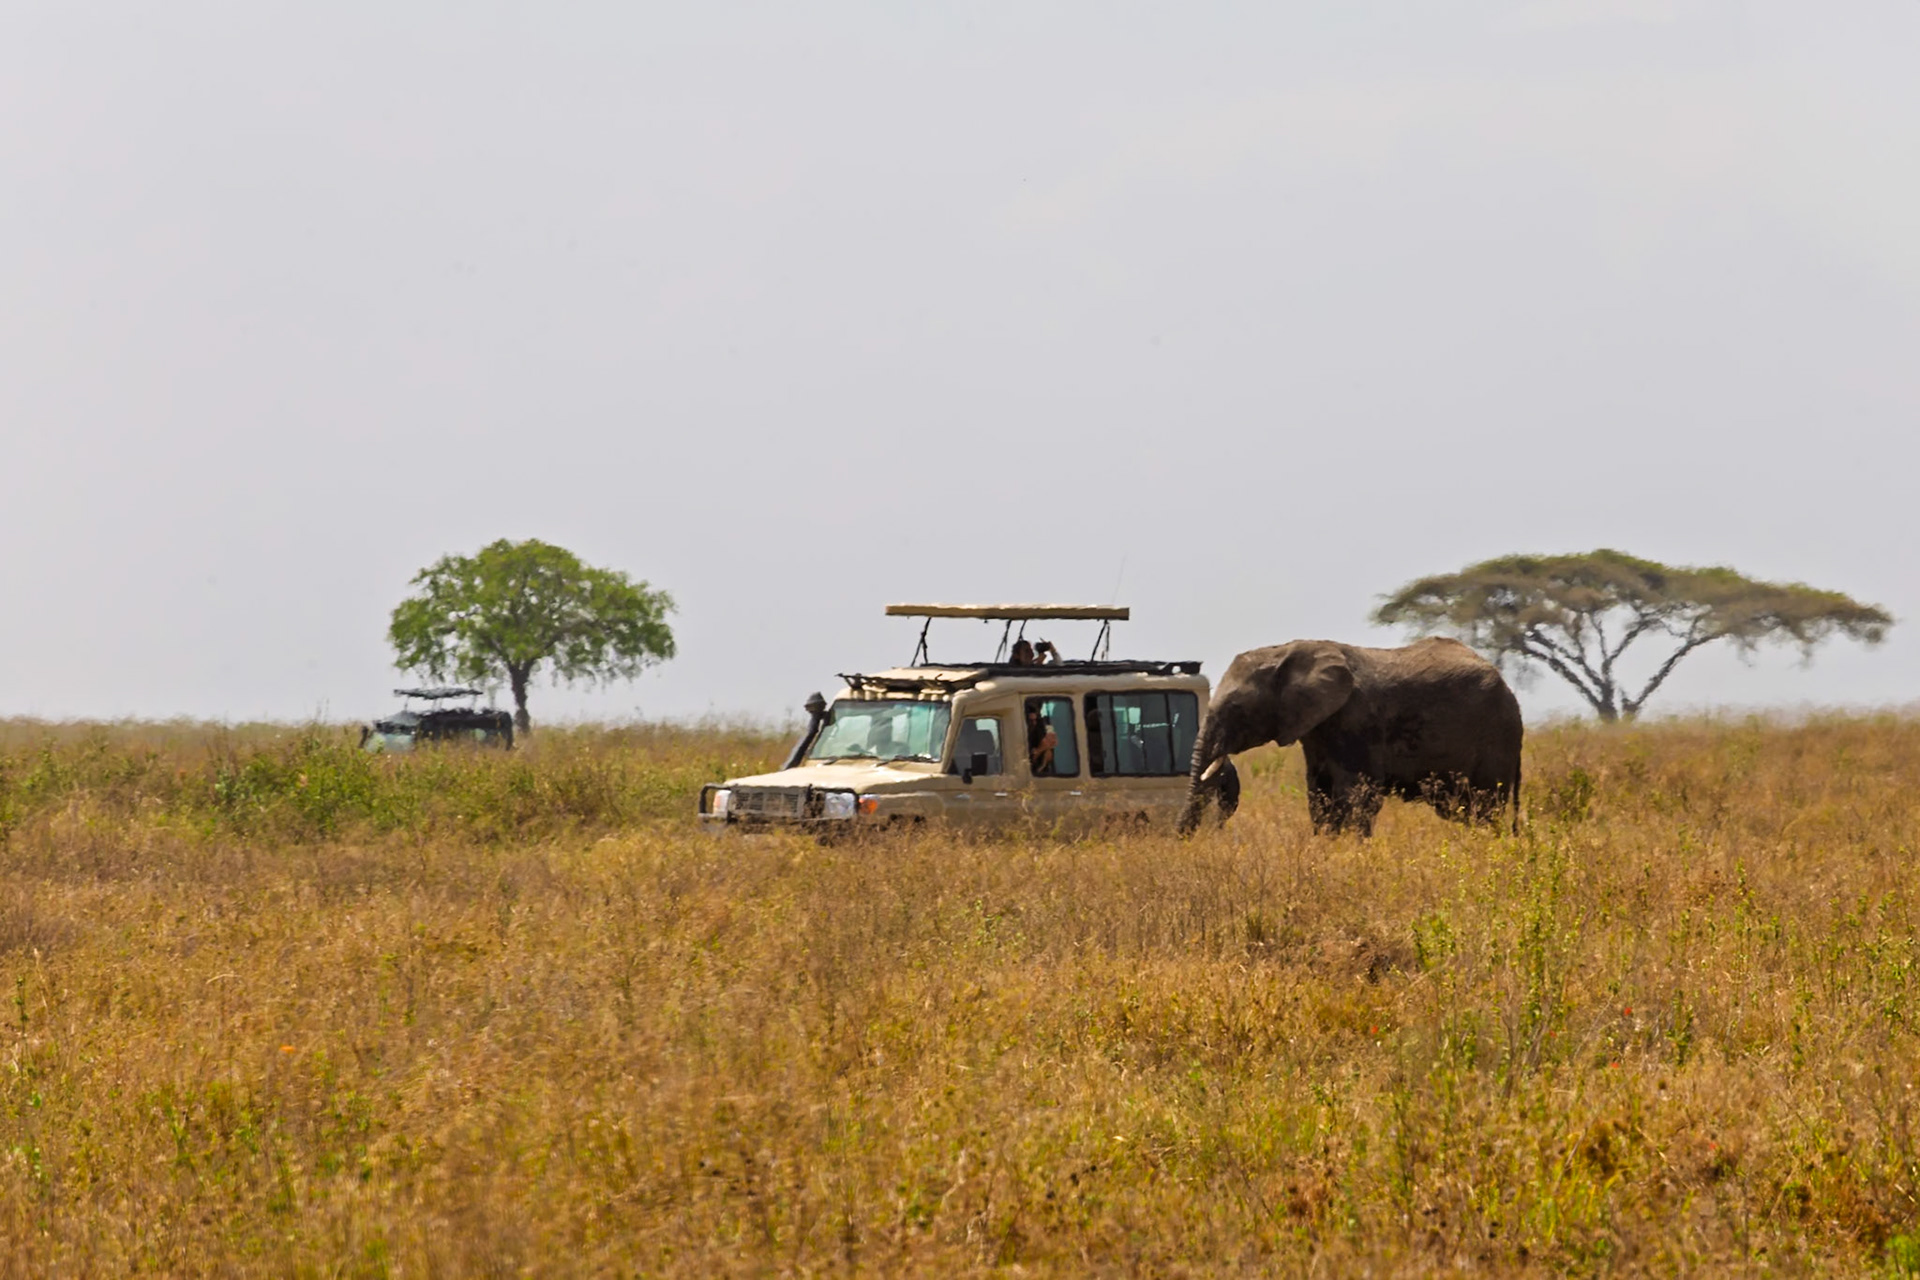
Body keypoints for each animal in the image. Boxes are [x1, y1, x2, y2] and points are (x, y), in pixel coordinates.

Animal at [1179, 637, 1523, 836]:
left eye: (1237, 708)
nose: (1184, 836)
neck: (1286, 651)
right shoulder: (1315, 727)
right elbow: (1319, 792)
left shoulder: (1357, 720)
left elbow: (1357, 795)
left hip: (1496, 736)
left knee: (1484, 805)